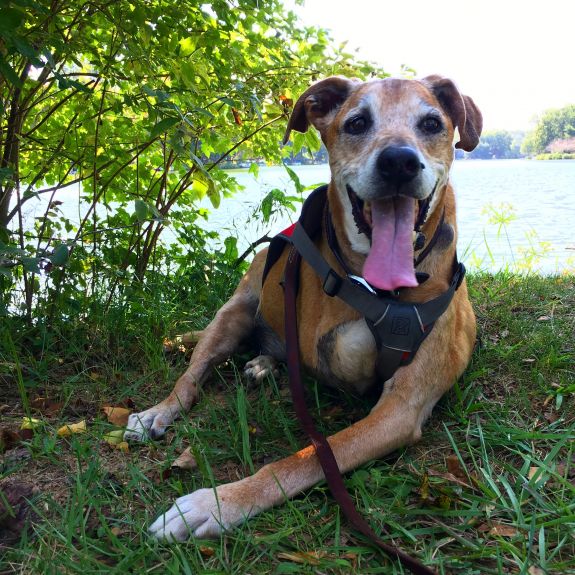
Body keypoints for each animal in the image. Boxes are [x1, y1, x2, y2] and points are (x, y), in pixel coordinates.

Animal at [126, 74, 482, 544]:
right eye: (357, 123)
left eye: (431, 123)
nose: (399, 162)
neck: (379, 290)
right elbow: (312, 450)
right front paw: (219, 502)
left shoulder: (401, 407)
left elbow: (311, 454)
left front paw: (215, 503)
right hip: (231, 315)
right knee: (190, 378)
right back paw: (159, 411)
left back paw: (261, 364)